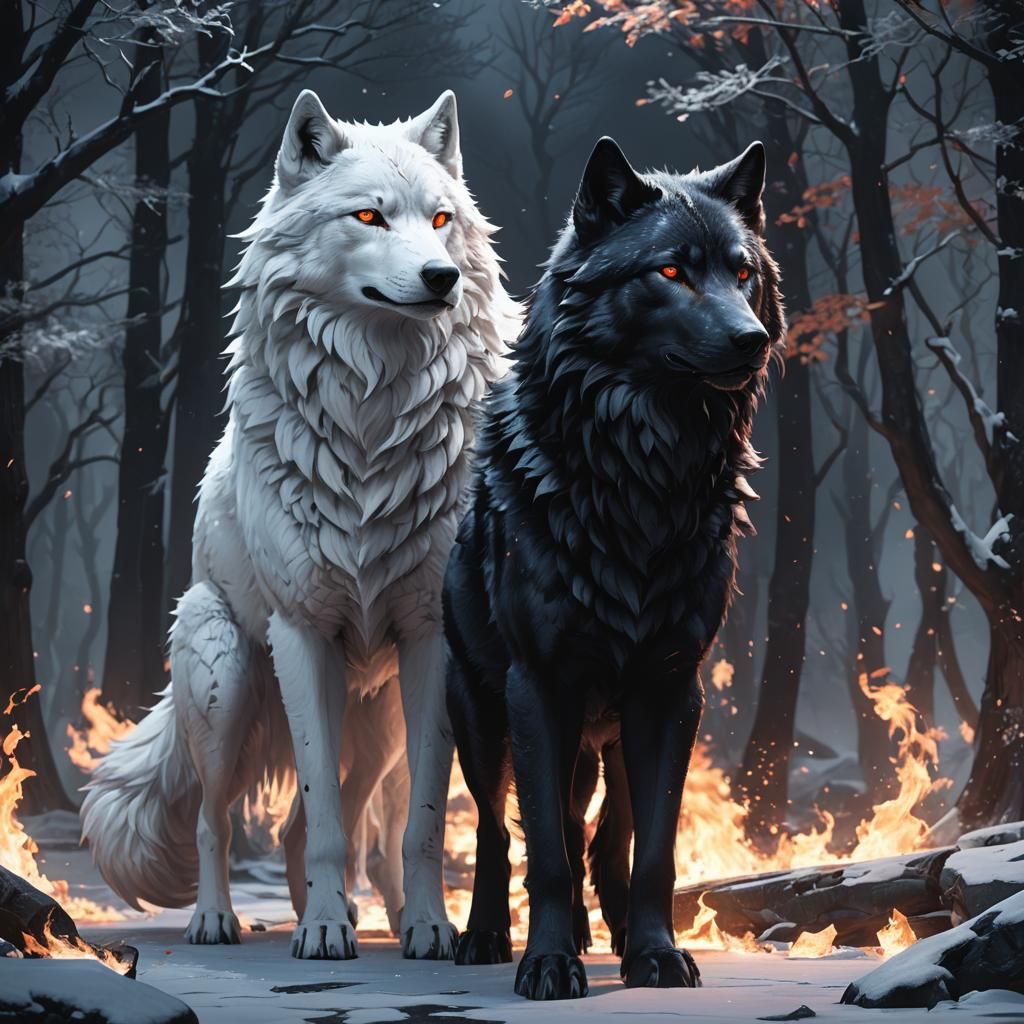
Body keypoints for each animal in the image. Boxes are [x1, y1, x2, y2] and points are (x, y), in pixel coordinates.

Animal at [81, 88, 517, 961]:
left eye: (443, 219)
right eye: (369, 216)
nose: (443, 277)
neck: (374, 420)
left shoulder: (432, 640)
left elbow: (418, 822)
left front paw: (428, 928)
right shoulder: (302, 632)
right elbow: (317, 817)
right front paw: (318, 932)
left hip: (379, 724)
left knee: (321, 827)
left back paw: (373, 916)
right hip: (224, 682)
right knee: (218, 820)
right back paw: (222, 919)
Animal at [444, 136, 784, 999]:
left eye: (742, 272)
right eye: (669, 271)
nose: (752, 340)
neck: (644, 479)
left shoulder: (671, 689)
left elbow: (653, 848)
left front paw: (656, 954)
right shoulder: (537, 687)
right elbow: (545, 854)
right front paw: (548, 961)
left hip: (614, 732)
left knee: (608, 832)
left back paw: (623, 933)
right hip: (482, 718)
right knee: (502, 831)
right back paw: (487, 935)